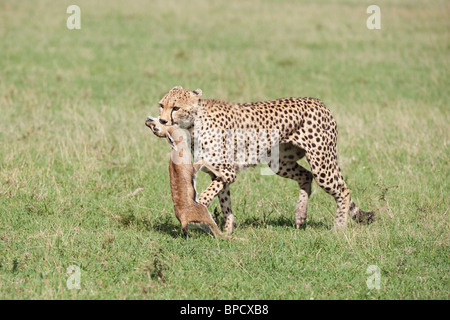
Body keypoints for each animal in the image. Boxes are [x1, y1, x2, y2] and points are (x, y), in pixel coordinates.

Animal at [149, 85, 374, 232]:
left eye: (176, 107)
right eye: (161, 105)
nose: (161, 121)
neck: (194, 123)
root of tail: (318, 102)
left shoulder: (227, 171)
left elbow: (205, 196)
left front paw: (196, 209)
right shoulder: (219, 174)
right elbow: (224, 202)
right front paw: (228, 229)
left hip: (322, 163)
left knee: (342, 190)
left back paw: (338, 228)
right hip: (279, 162)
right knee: (305, 176)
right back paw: (300, 215)